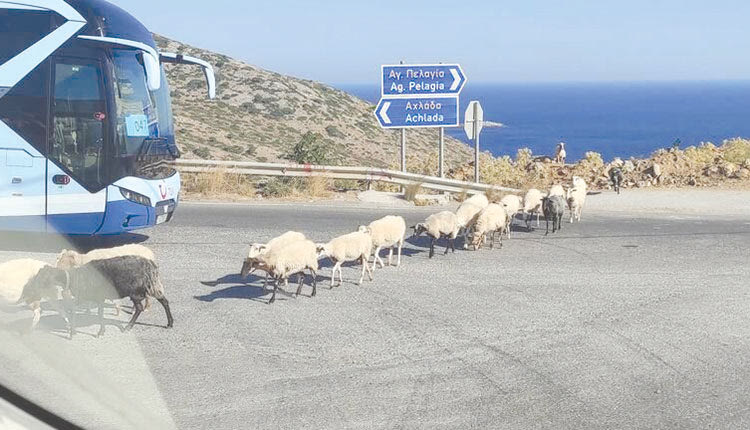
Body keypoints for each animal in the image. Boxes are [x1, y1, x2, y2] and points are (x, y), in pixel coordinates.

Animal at [20, 254, 175, 338]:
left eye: (42, 278)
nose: (29, 288)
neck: (75, 277)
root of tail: (151, 265)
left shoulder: (99, 297)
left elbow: (99, 315)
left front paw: (99, 332)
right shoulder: (86, 297)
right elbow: (74, 312)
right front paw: (72, 331)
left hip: (140, 290)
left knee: (144, 307)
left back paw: (130, 327)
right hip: (148, 287)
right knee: (160, 302)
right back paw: (168, 323)